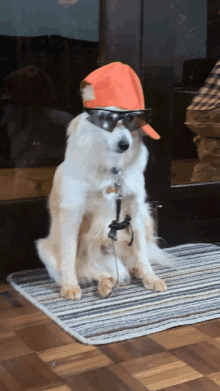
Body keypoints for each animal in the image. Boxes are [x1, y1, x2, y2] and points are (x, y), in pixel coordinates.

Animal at [36, 62, 174, 300]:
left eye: (132, 120)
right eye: (106, 119)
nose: (124, 144)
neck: (112, 169)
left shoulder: (136, 206)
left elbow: (141, 251)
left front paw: (150, 277)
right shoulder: (72, 211)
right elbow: (69, 255)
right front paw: (70, 286)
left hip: (146, 217)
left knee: (129, 264)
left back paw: (130, 274)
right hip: (45, 248)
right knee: (90, 270)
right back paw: (104, 283)